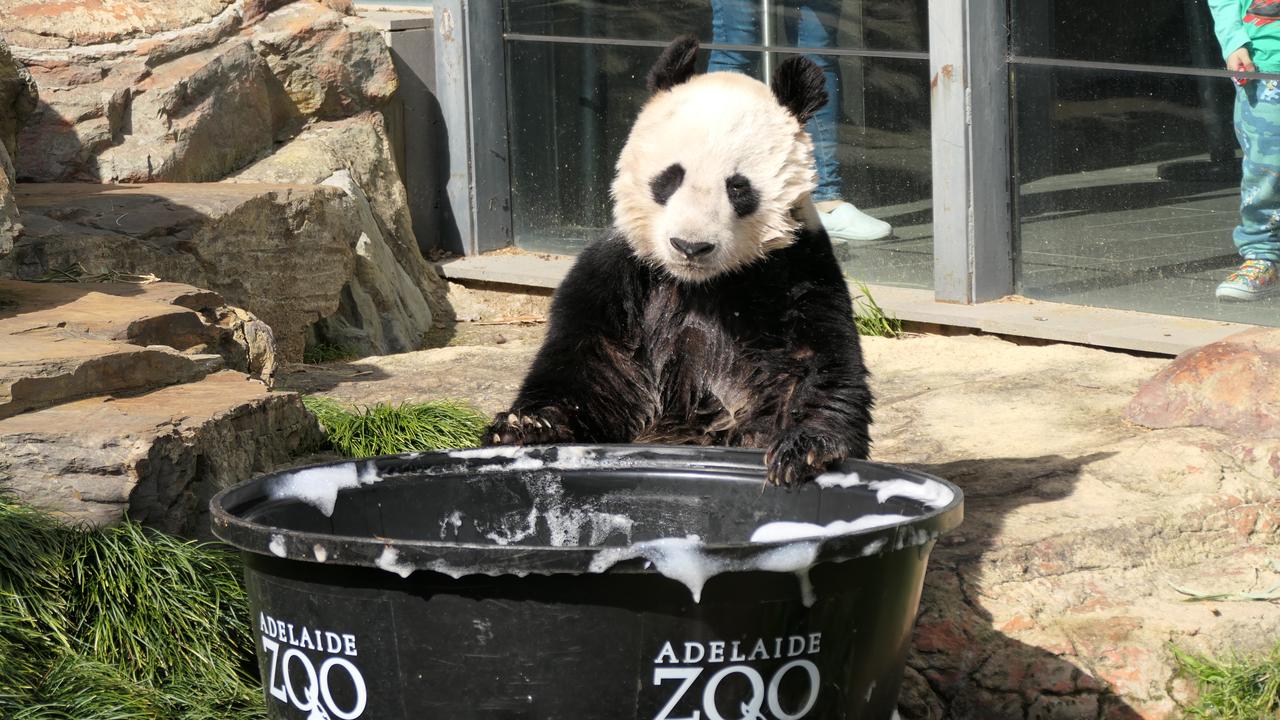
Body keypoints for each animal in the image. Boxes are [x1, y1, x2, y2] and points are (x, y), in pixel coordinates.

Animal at [483, 32, 875, 481]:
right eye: (669, 178)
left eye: (738, 188)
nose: (690, 246)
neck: (701, 284)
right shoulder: (620, 274)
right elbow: (590, 368)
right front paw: (524, 426)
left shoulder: (797, 268)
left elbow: (819, 364)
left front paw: (804, 448)